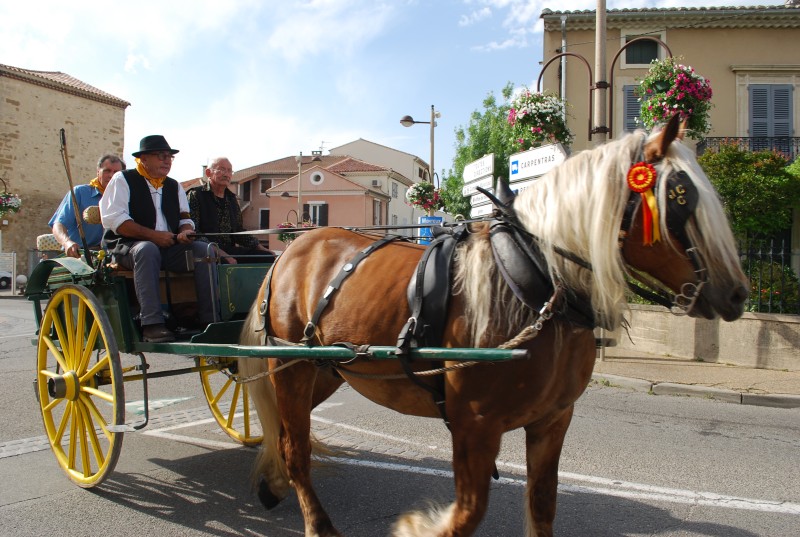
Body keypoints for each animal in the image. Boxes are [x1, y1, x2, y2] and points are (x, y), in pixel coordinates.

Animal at [238, 114, 752, 536]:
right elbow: (466, 515)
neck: (537, 284)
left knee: (285, 434)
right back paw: (315, 520)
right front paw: (416, 527)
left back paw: (272, 483)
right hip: (291, 369)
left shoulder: (552, 421)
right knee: (297, 450)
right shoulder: (474, 426)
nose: (737, 293)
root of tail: (292, 248)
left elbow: (542, 505)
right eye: (680, 198)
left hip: (324, 371)